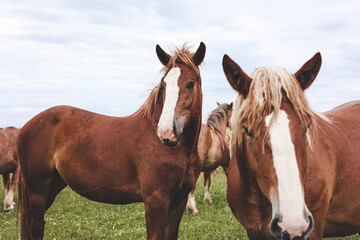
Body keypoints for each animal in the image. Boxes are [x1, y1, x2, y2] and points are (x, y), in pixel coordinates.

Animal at [17, 42, 205, 239]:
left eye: (191, 83)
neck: (182, 151)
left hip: (52, 188)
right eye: (163, 85)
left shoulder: (179, 200)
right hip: (37, 192)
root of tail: (26, 126)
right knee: (36, 227)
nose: (166, 132)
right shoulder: (156, 200)